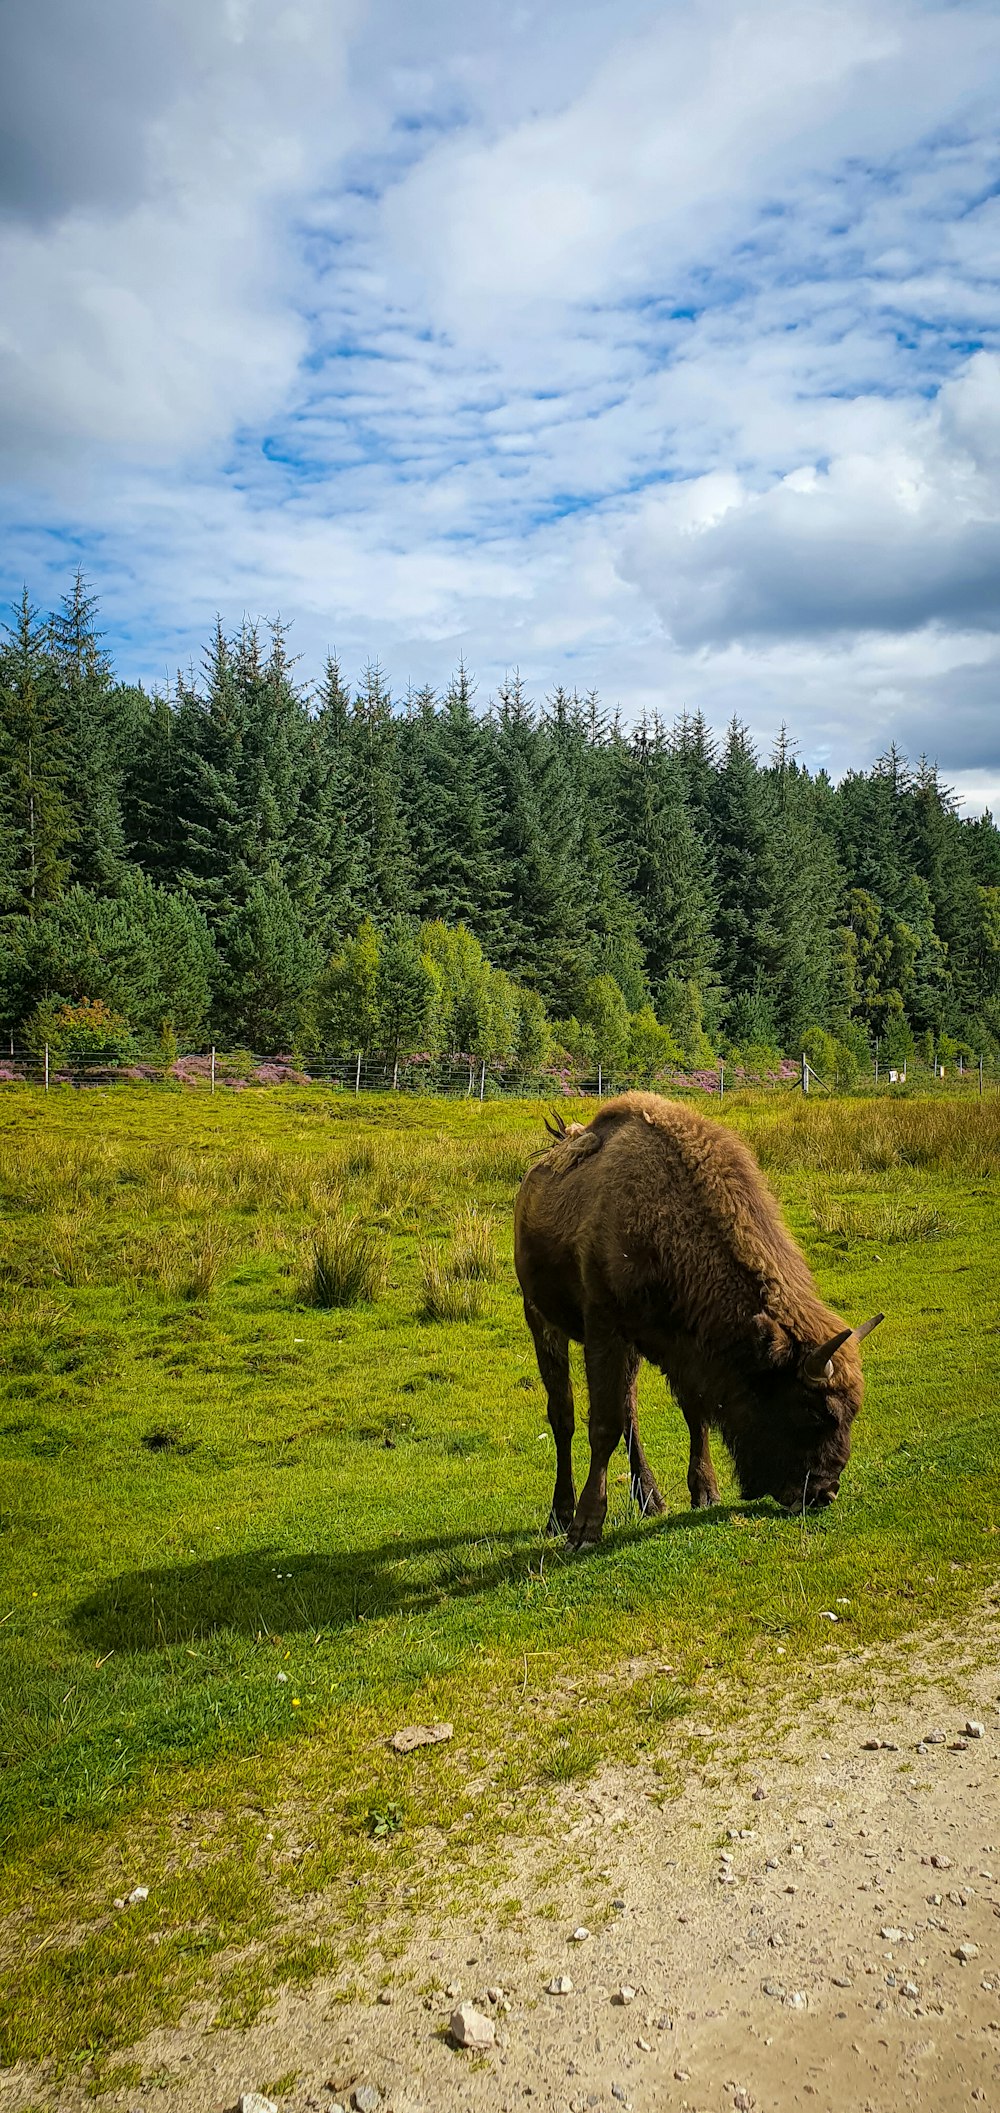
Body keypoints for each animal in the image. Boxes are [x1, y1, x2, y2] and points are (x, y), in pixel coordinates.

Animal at [513, 1098, 879, 1546]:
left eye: (852, 1411)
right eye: (812, 1411)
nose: (822, 1493)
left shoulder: (680, 1344)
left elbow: (691, 1412)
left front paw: (705, 1491)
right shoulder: (605, 1327)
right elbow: (603, 1425)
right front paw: (586, 1527)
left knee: (629, 1412)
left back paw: (651, 1500)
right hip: (541, 1319)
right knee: (563, 1414)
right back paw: (561, 1514)